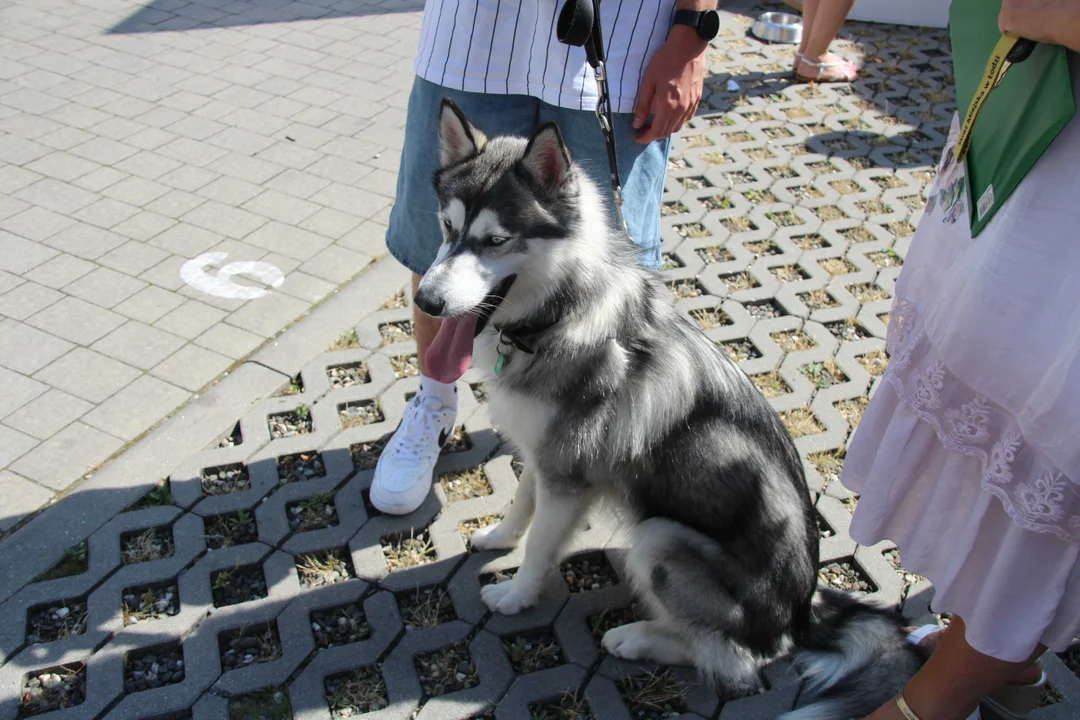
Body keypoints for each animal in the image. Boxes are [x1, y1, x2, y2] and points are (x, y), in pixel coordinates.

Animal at [416, 99, 924, 720]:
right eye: (447, 228)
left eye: (495, 241)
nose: (427, 301)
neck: (559, 316)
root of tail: (804, 613)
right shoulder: (544, 455)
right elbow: (521, 505)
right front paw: (498, 538)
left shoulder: (569, 476)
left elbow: (540, 547)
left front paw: (515, 595)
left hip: (659, 535)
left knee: (735, 661)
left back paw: (636, 638)